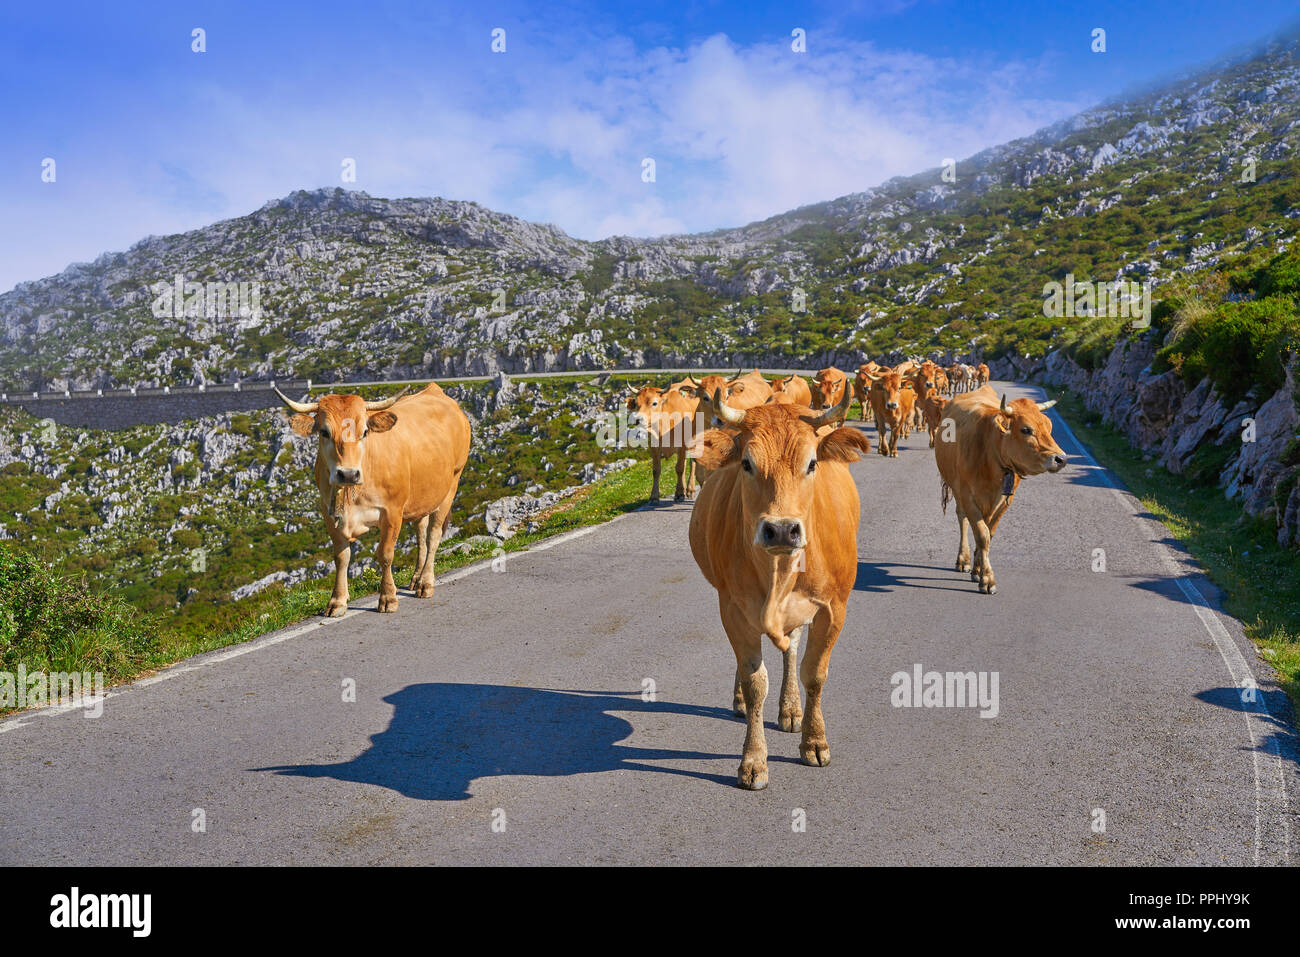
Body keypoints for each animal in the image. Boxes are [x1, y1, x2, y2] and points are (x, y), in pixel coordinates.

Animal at [276, 382, 470, 616]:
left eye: (365, 432)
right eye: (324, 432)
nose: (348, 474)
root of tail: (435, 390)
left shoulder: (392, 511)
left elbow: (385, 554)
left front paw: (388, 597)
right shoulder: (328, 513)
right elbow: (341, 557)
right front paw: (337, 601)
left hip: (452, 484)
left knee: (433, 535)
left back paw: (425, 583)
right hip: (423, 495)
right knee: (421, 533)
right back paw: (416, 578)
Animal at [686, 384, 868, 790]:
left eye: (812, 463)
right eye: (746, 464)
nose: (782, 529)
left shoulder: (834, 608)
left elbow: (813, 673)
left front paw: (814, 741)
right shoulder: (732, 608)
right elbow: (755, 682)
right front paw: (753, 761)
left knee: (792, 649)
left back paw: (791, 709)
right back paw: (741, 701)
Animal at [935, 384, 1066, 595]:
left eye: (1049, 425)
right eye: (1026, 429)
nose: (1061, 458)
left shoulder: (1005, 500)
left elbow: (989, 533)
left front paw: (979, 570)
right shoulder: (967, 495)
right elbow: (982, 534)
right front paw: (987, 578)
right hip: (956, 488)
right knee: (962, 518)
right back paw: (963, 559)